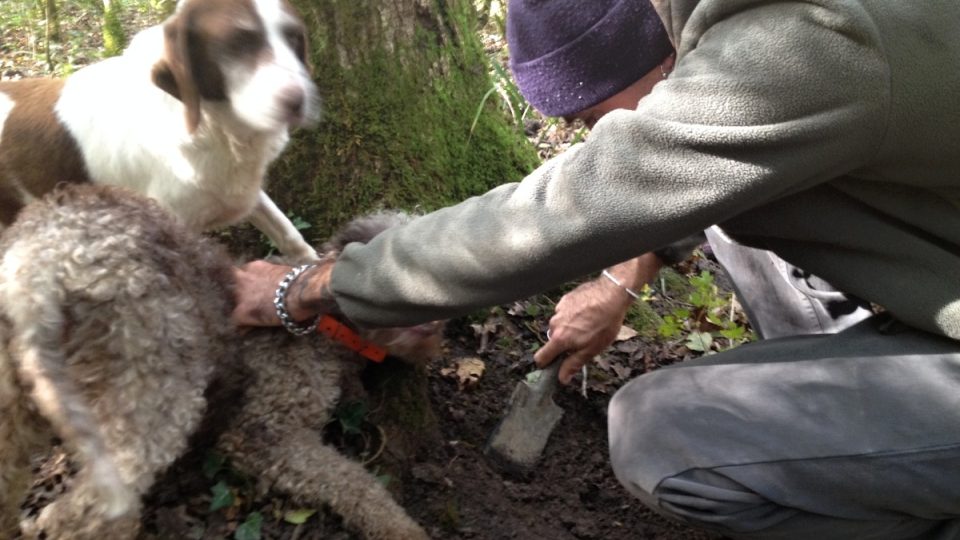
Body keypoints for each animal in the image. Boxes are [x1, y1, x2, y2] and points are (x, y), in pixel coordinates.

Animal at [0, 0, 322, 262]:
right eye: (237, 41)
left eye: (294, 38)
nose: (299, 100)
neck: (212, 124)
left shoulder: (241, 191)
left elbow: (290, 235)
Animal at [0, 187, 436, 540]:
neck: (324, 327)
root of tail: (39, 258)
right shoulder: (263, 432)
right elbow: (353, 482)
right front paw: (401, 528)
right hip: (156, 395)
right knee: (85, 511)